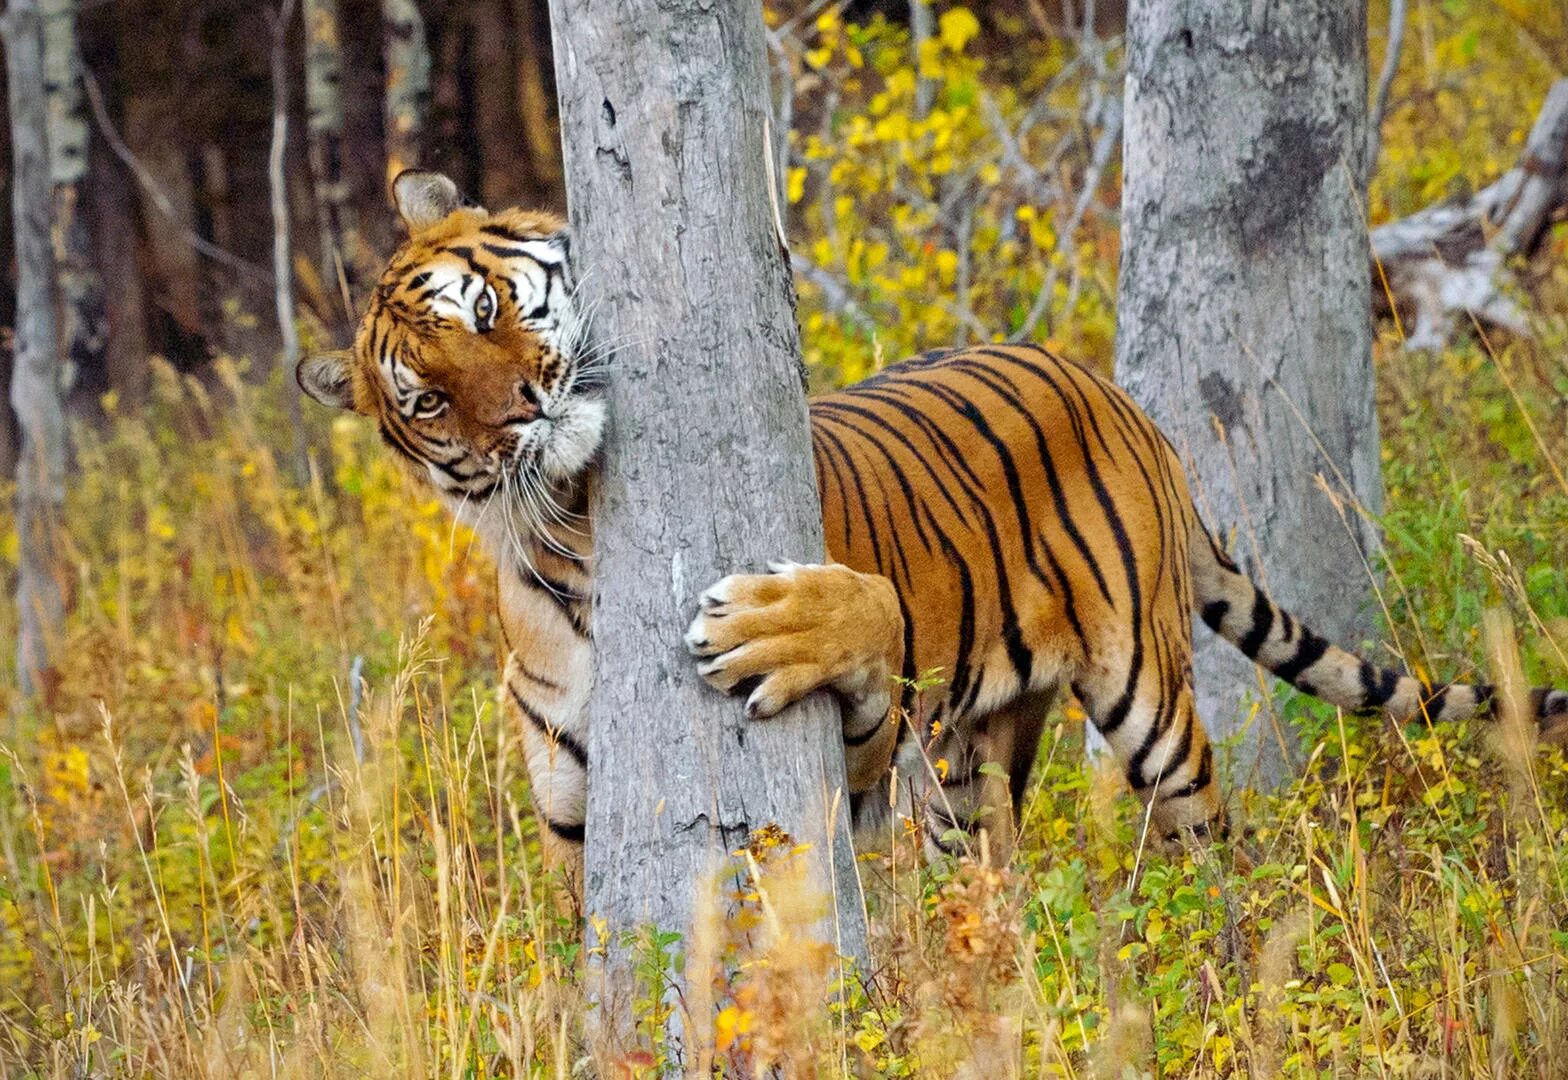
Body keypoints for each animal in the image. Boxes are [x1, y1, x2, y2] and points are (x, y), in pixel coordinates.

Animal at [302, 170, 1568, 902]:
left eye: (484, 309)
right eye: (428, 401)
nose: (521, 405)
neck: (569, 519)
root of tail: (1118, 398)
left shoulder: (862, 753)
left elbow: (865, 606)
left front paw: (774, 622)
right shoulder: (571, 810)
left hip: (1144, 699)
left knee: (1210, 838)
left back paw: (1233, 959)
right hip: (976, 758)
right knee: (987, 869)